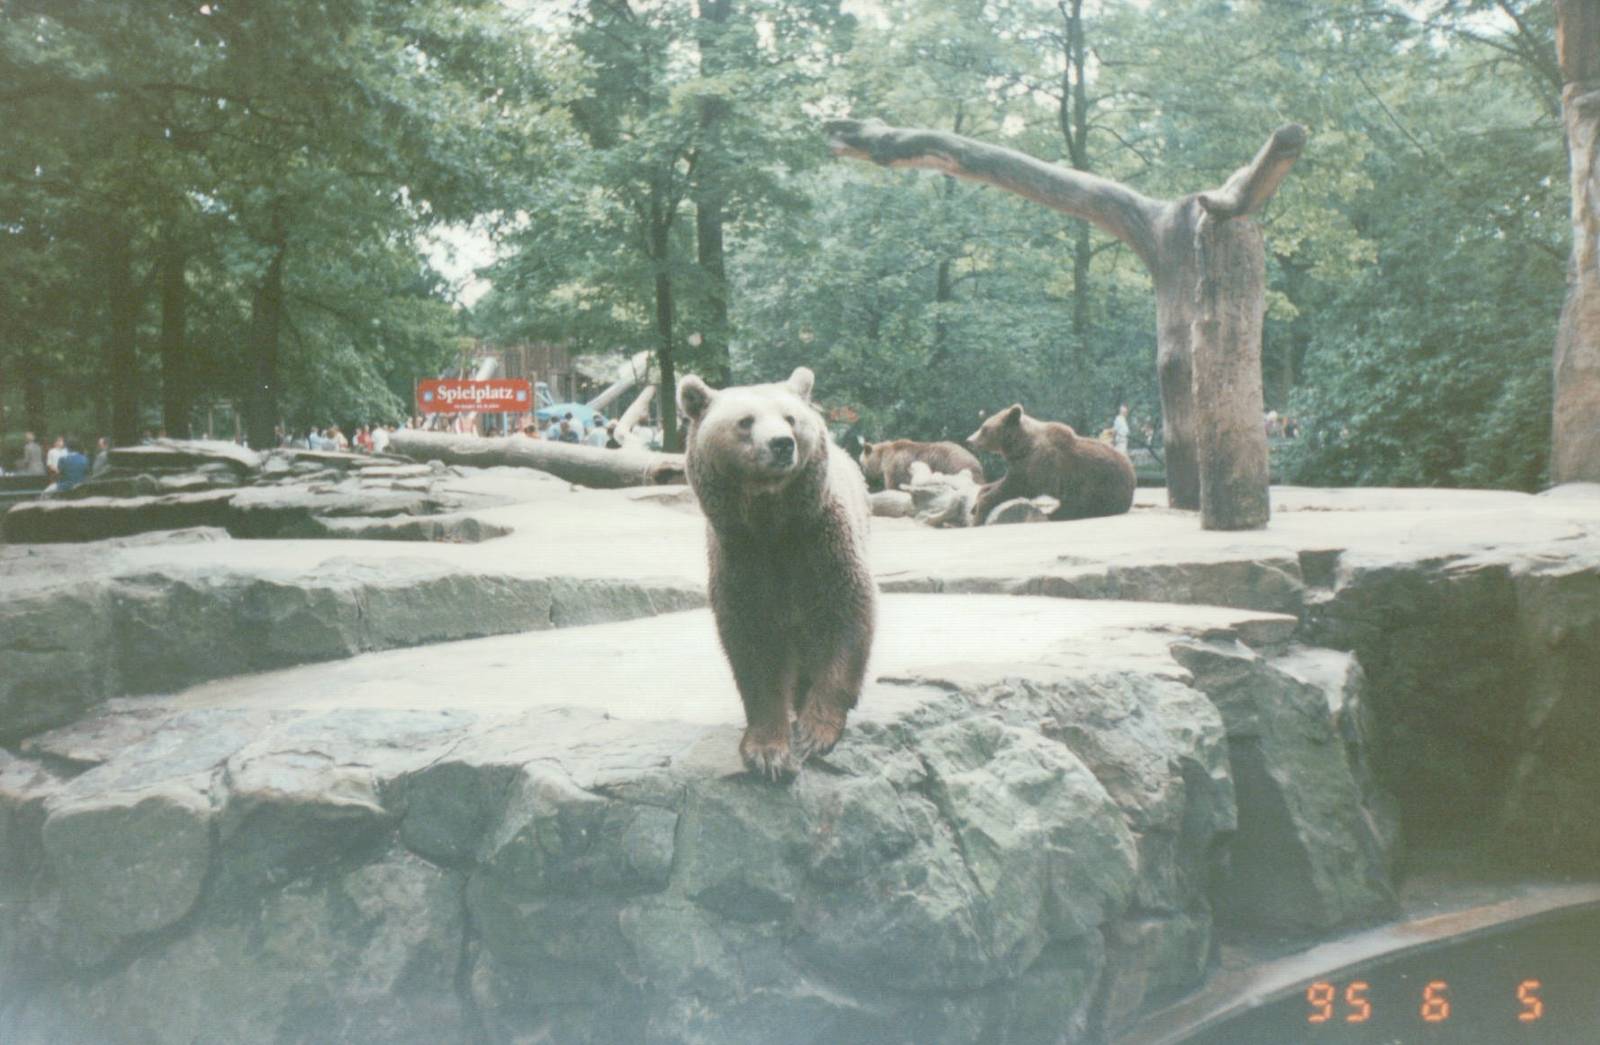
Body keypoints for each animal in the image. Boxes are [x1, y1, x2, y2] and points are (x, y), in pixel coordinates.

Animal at [678, 367, 878, 781]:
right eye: (745, 421)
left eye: (790, 418)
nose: (782, 444)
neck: (773, 522)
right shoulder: (742, 556)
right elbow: (754, 644)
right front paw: (768, 752)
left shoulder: (822, 541)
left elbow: (848, 613)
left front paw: (816, 731)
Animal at [966, 404, 1136, 523]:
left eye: (984, 428)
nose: (969, 440)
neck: (1021, 447)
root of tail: (1132, 475)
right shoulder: (1018, 465)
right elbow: (998, 483)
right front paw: (976, 504)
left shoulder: (1036, 466)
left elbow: (1012, 487)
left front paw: (979, 513)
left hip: (1095, 486)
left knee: (1075, 507)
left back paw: (1051, 514)